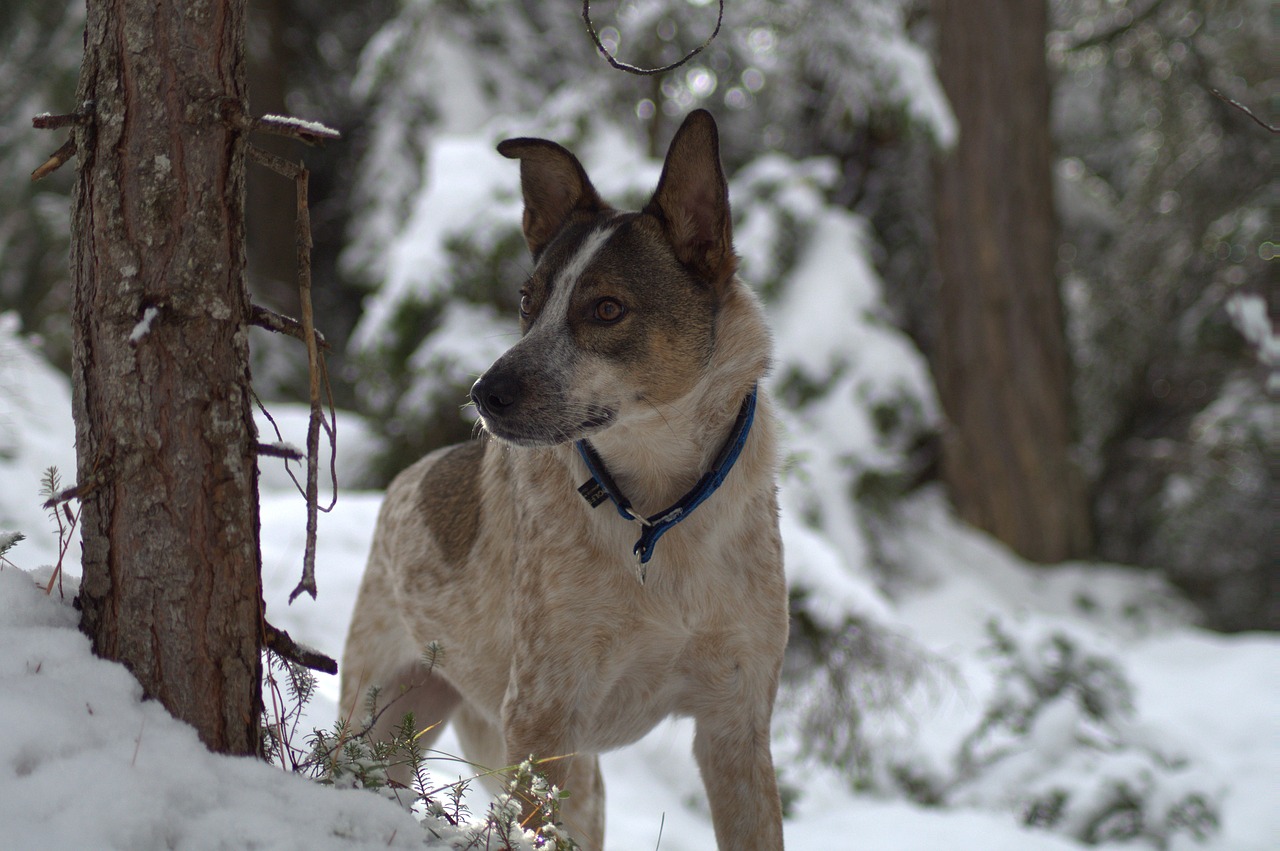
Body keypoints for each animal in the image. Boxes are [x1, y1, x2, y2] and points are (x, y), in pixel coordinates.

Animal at [340, 109, 783, 844]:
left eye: (606, 308)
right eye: (528, 300)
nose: (484, 393)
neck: (658, 515)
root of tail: (406, 480)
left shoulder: (736, 720)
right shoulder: (542, 715)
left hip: (578, 780)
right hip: (382, 718)